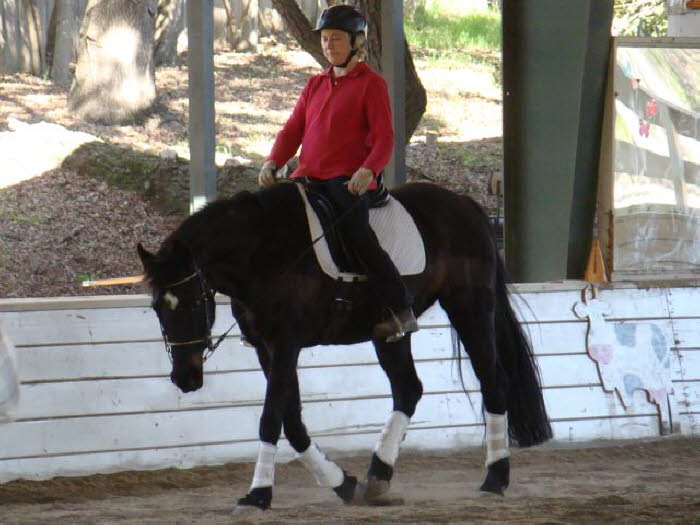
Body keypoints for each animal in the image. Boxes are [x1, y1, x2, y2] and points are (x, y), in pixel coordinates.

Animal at [137, 180, 552, 512]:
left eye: (194, 302)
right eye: (157, 307)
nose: (185, 377)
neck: (263, 252)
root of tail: (466, 203)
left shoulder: (286, 343)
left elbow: (271, 419)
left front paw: (258, 494)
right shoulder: (265, 348)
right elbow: (293, 421)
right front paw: (342, 483)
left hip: (470, 306)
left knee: (494, 382)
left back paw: (494, 479)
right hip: (389, 332)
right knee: (408, 390)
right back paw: (377, 479)